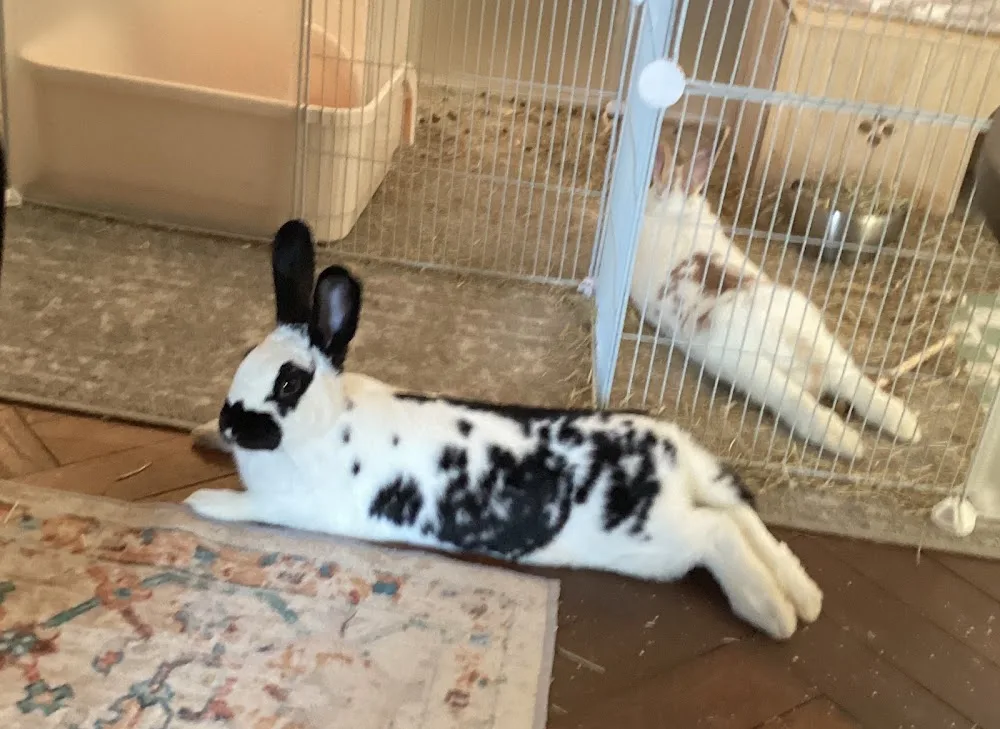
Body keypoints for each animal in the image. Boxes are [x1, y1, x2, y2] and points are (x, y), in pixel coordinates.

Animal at [184, 219, 823, 640]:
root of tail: (674, 455)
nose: (230, 420)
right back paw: (804, 598)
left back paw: (771, 612)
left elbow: (244, 508)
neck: (327, 422)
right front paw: (201, 434)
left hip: (654, 540)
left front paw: (200, 502)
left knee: (717, 533)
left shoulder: (293, 506)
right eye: (244, 356)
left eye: (289, 383)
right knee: (741, 519)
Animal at [629, 123, 922, 460]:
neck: (676, 211)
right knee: (853, 383)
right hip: (821, 341)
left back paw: (848, 444)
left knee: (803, 406)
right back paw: (905, 424)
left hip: (752, 371)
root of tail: (797, 350)